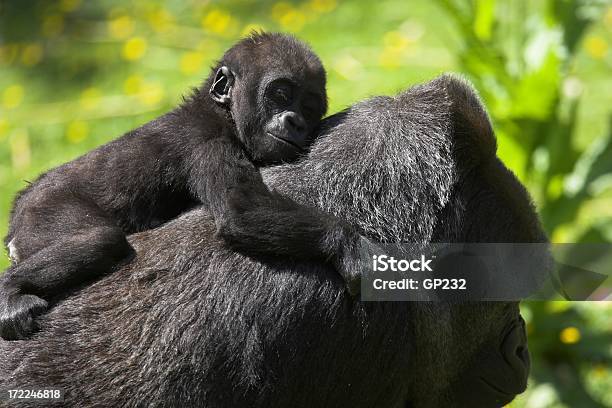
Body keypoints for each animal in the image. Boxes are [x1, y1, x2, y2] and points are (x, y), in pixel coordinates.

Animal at [1, 31, 334, 340]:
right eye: (280, 94)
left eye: (309, 107)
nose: (295, 122)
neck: (219, 111)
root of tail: (17, 213)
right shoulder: (206, 142)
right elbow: (241, 210)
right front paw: (341, 241)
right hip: (43, 210)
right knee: (101, 239)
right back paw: (10, 289)